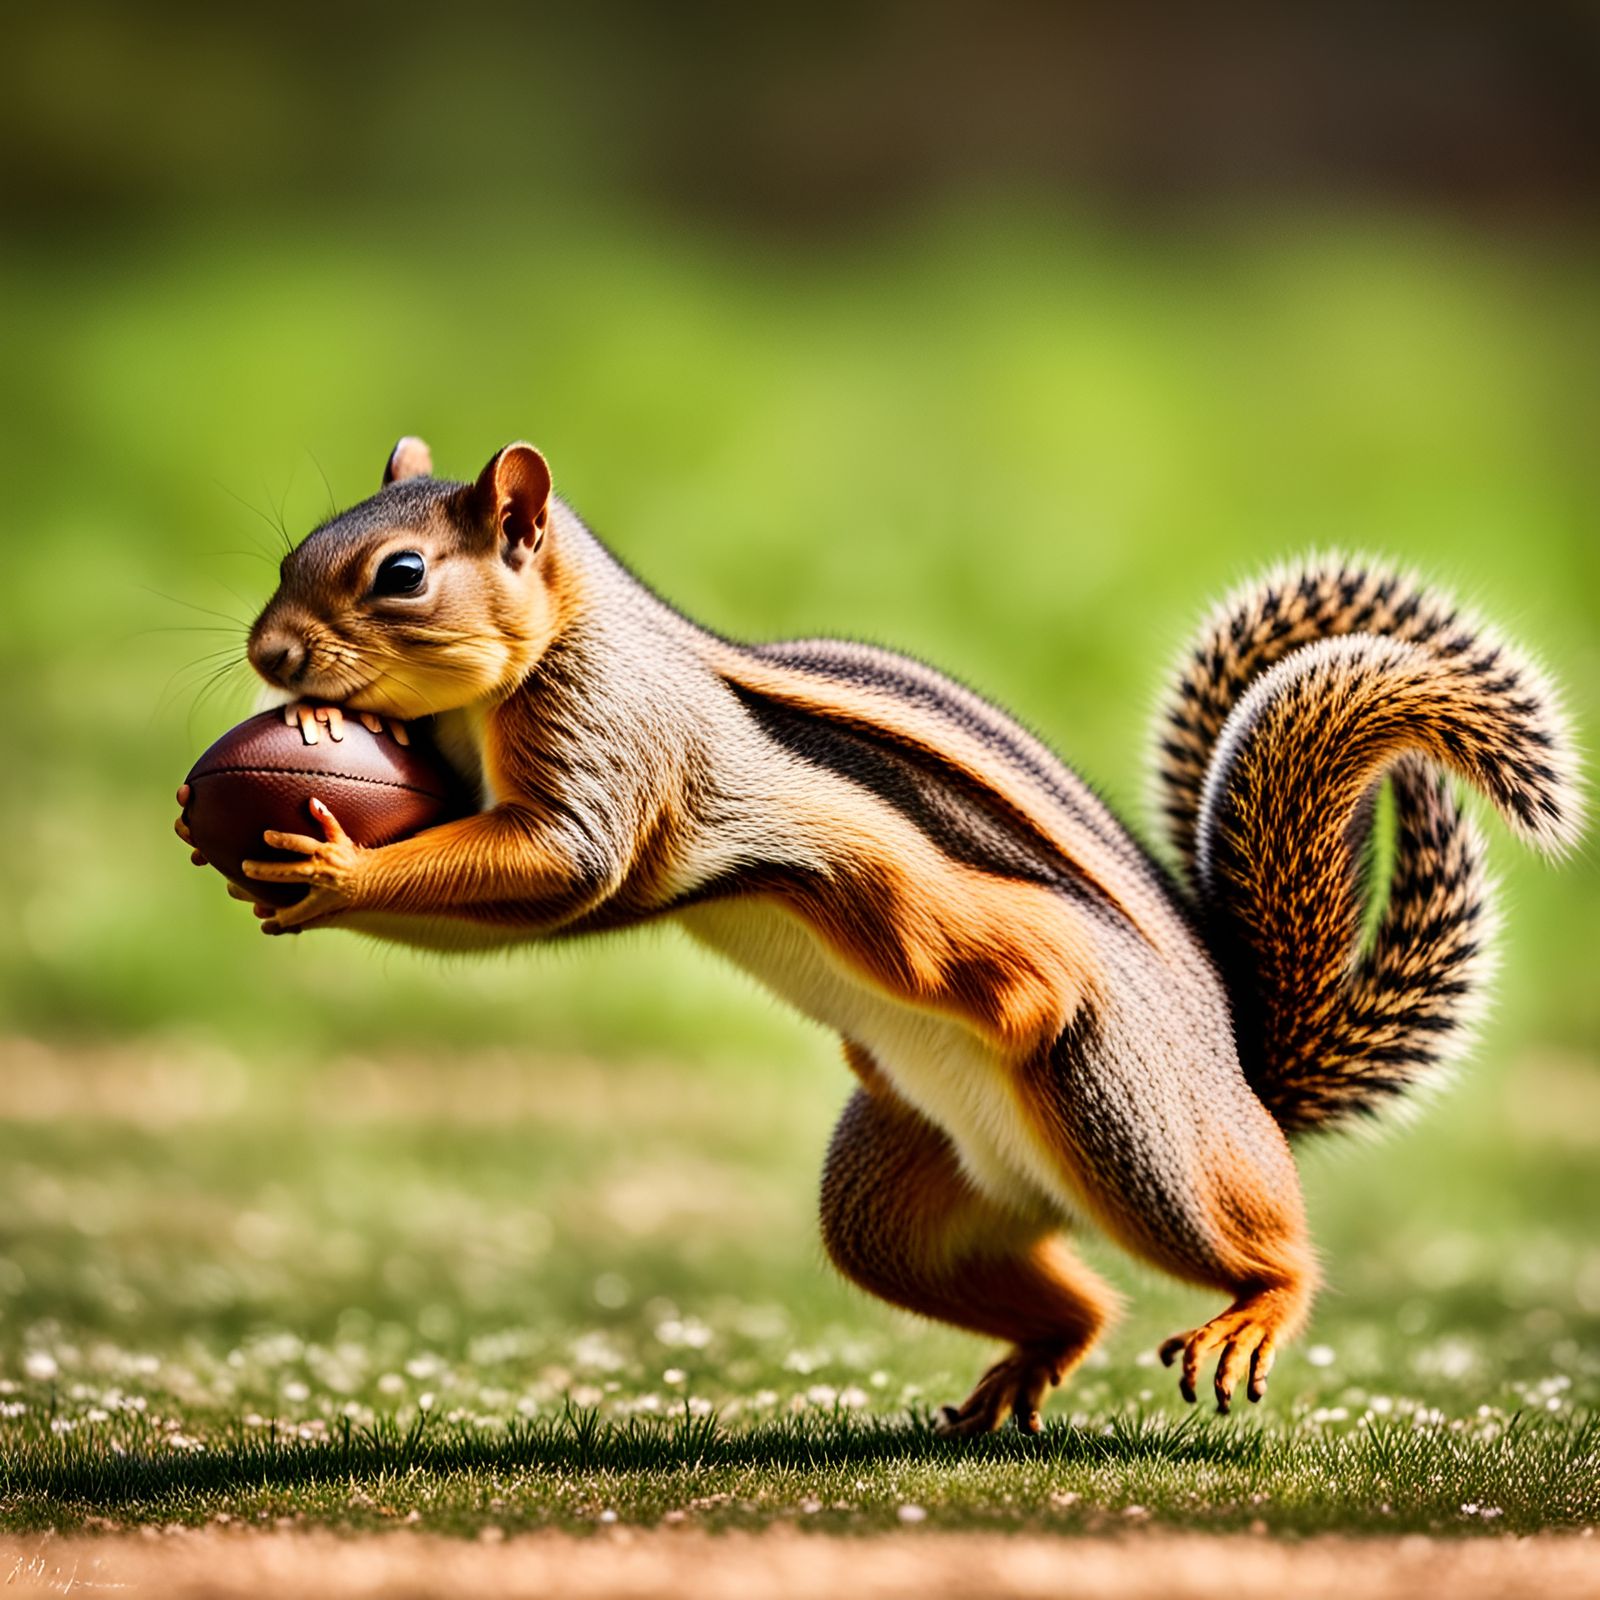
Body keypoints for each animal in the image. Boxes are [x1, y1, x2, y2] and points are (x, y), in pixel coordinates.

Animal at [175, 436, 1582, 1432]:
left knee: (1242, 1237)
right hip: (897, 1194)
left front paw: (337, 861)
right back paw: (1033, 1356)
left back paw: (1256, 1303)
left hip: (1122, 1110)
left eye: (401, 573)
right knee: (1069, 1291)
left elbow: (560, 866)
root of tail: (1240, 1070)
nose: (271, 653)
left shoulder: (610, 756)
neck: (563, 642)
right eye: (298, 549)